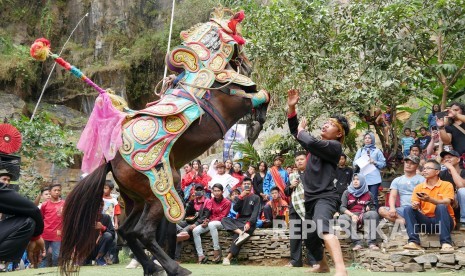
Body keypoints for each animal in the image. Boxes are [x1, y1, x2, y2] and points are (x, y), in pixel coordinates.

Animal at [49, 7, 270, 274]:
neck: (204, 68)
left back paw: (151, 266)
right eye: (239, 40)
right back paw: (174, 268)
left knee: (126, 231)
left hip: (135, 199)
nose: (247, 65)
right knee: (142, 232)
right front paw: (257, 122)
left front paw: (255, 124)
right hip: (160, 190)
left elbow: (260, 94)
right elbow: (261, 94)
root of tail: (111, 160)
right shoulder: (232, 100)